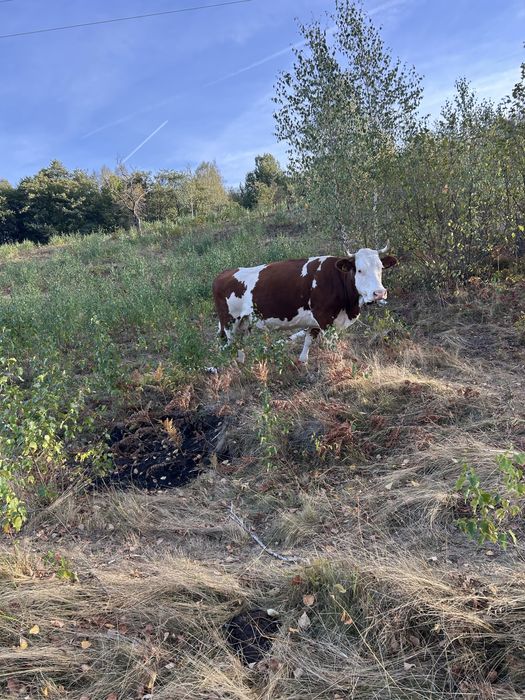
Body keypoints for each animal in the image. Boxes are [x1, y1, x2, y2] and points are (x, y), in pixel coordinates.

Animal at [212, 244, 397, 364]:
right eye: (359, 270)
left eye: (381, 268)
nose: (379, 293)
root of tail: (223, 274)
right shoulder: (325, 318)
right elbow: (333, 348)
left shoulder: (315, 321)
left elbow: (308, 340)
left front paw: (303, 362)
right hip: (229, 321)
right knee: (231, 343)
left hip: (244, 322)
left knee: (240, 344)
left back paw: (242, 362)